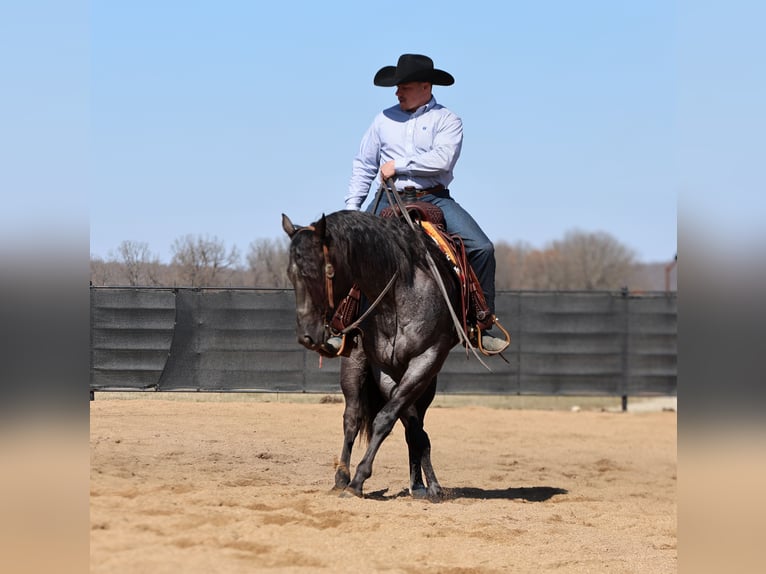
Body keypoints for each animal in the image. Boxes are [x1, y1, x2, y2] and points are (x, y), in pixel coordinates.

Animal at [282, 210, 462, 500]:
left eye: (319, 271)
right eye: (291, 273)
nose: (306, 336)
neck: (396, 297)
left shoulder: (427, 359)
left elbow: (390, 420)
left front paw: (362, 480)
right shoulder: (382, 367)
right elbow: (394, 421)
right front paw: (353, 481)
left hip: (426, 381)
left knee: (411, 423)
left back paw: (422, 485)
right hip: (355, 365)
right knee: (354, 417)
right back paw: (342, 477)